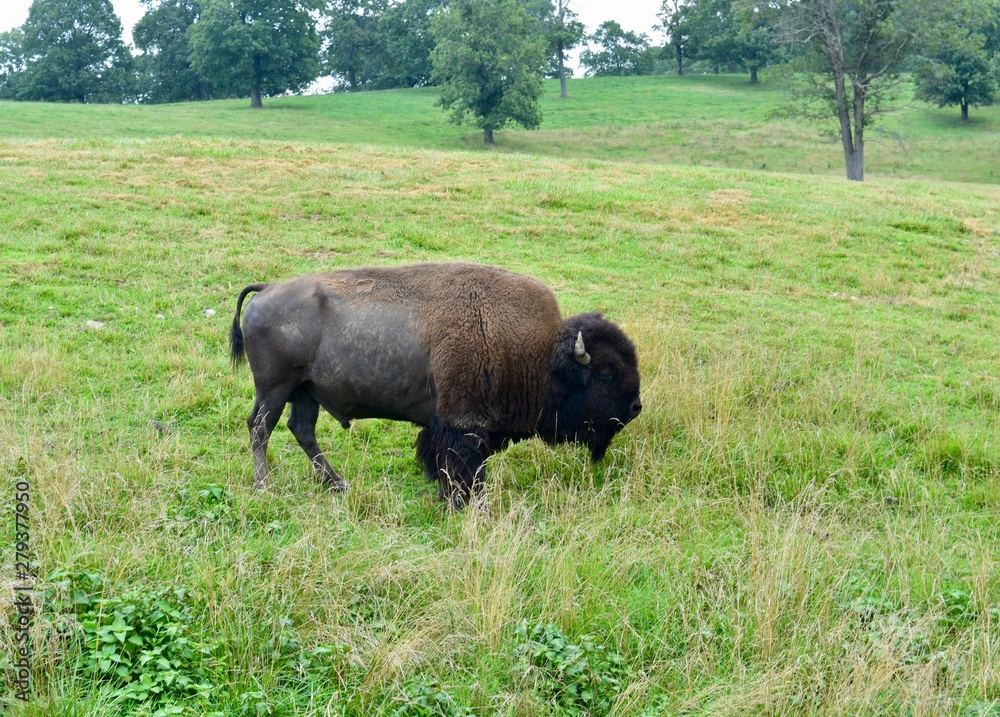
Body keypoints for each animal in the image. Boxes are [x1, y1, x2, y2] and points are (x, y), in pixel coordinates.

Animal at [229, 264, 640, 510]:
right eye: (607, 371)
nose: (635, 407)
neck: (537, 350)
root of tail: (267, 288)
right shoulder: (464, 422)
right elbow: (463, 461)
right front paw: (465, 501)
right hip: (275, 388)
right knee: (260, 427)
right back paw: (265, 486)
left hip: (305, 391)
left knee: (301, 430)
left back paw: (338, 484)